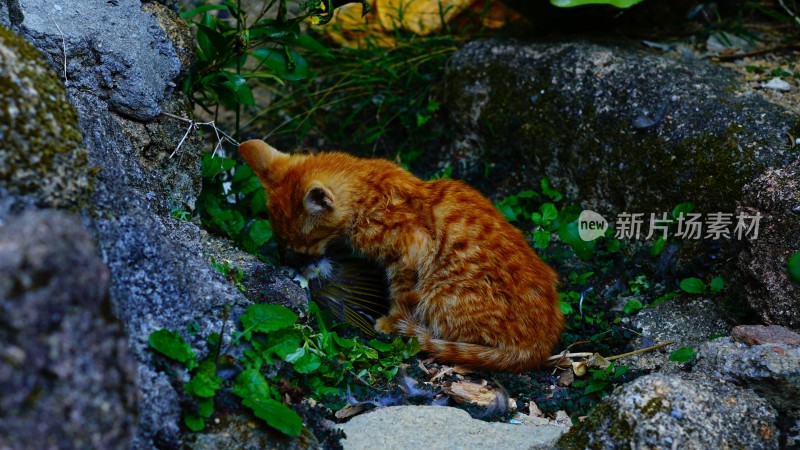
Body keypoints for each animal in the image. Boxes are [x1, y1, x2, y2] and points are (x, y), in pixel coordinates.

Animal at [238, 139, 564, 370]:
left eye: (302, 243)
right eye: (282, 241)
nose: (290, 261)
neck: (369, 188)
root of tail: (541, 344)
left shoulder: (413, 249)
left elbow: (401, 291)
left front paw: (389, 321)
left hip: (440, 296)